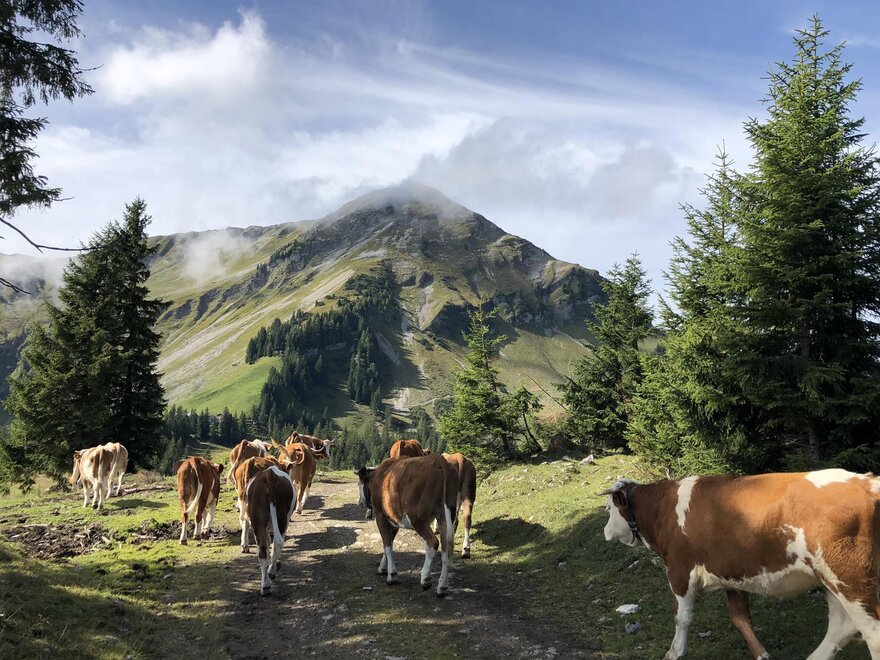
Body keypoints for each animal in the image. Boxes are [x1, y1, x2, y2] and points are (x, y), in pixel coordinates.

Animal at [245, 465, 296, 595]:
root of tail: (270, 475)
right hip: (281, 516)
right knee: (276, 543)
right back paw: (270, 575)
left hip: (259, 520)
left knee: (264, 548)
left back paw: (266, 584)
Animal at [357, 455, 459, 597]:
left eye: (358, 483)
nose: (360, 503)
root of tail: (438, 459)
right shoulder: (393, 519)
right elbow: (388, 542)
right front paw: (382, 568)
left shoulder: (381, 515)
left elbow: (387, 545)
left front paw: (391, 575)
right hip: (445, 512)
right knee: (446, 547)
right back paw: (442, 586)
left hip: (418, 518)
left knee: (433, 542)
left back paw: (425, 578)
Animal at [603, 469, 880, 660]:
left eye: (608, 508)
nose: (605, 532)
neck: (662, 511)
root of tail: (865, 482)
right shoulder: (731, 573)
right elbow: (740, 618)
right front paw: (761, 654)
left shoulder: (679, 571)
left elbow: (681, 617)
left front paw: (674, 652)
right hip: (831, 579)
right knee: (841, 626)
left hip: (847, 579)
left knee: (871, 632)